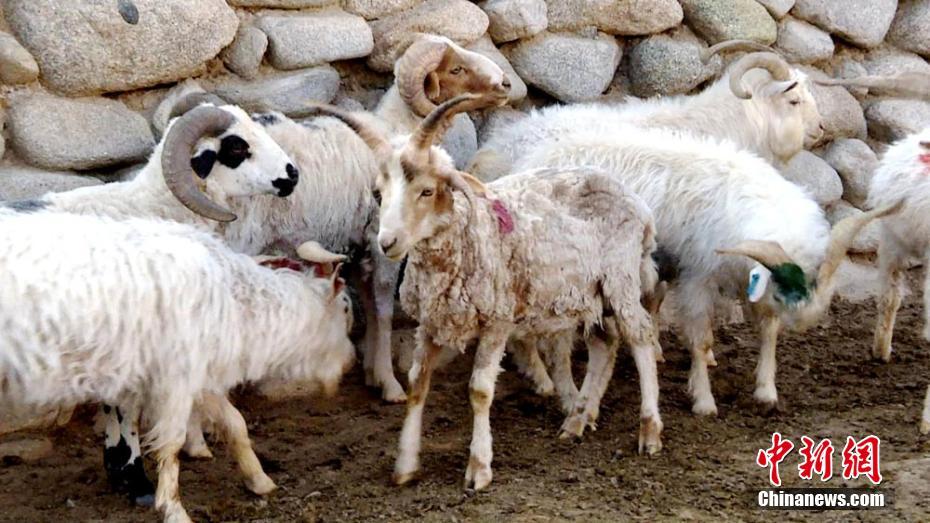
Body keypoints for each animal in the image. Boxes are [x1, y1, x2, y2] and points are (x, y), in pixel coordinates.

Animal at [308, 95, 664, 492]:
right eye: (378, 194)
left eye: (427, 190)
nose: (388, 243)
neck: (466, 234)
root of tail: (635, 202)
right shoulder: (431, 323)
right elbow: (417, 385)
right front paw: (405, 464)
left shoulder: (497, 320)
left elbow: (479, 390)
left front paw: (478, 467)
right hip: (592, 290)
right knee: (605, 344)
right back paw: (576, 421)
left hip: (620, 277)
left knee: (639, 335)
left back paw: (649, 430)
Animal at [512, 128, 896, 418]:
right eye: (783, 287)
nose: (805, 321)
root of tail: (536, 158)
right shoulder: (698, 279)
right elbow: (702, 340)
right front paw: (704, 401)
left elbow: (768, 334)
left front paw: (766, 391)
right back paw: (541, 377)